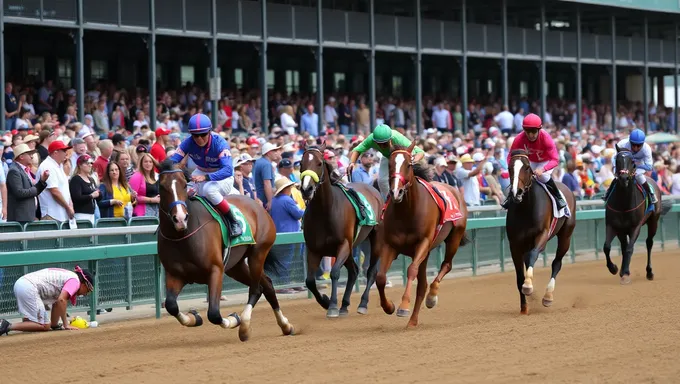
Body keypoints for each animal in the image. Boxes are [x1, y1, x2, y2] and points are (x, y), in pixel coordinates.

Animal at [157, 160, 294, 342]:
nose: (180, 218)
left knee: (257, 288)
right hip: (236, 266)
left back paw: (245, 326)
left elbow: (214, 314)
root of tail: (258, 205)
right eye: (161, 186)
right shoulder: (175, 274)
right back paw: (285, 325)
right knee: (267, 285)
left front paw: (234, 319)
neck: (184, 235)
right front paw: (194, 317)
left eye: (184, 184)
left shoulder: (216, 270)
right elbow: (171, 305)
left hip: (258, 253)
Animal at [300, 144, 386, 318]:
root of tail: (372, 188)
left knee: (370, 271)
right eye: (300, 163)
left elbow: (334, 273)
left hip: (375, 240)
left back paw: (362, 304)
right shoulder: (314, 249)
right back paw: (345, 305)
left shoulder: (343, 245)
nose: (306, 189)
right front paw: (326, 302)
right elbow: (310, 281)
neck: (325, 211)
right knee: (354, 271)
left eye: (319, 163)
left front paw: (333, 305)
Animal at [372, 141, 468, 328]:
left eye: (409, 165)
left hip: (454, 237)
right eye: (390, 165)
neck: (408, 212)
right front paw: (389, 306)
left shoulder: (423, 243)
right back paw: (413, 321)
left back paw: (432, 297)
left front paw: (403, 306)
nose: (396, 192)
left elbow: (411, 270)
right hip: (427, 252)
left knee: (446, 265)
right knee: (422, 285)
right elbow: (380, 277)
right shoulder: (390, 245)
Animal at [508, 148, 576, 314]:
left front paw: (528, 286)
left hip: (566, 236)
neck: (526, 208)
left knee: (557, 263)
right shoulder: (514, 244)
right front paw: (524, 307)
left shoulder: (542, 235)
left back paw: (548, 296)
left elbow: (533, 255)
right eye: (509, 168)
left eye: (527, 167)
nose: (516, 192)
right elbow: (520, 276)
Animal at [604, 147, 672, 284]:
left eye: (632, 161)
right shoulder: (613, 225)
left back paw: (649, 272)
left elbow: (630, 248)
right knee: (624, 246)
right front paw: (614, 268)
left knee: (649, 243)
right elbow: (607, 247)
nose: (624, 178)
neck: (623, 203)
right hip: (622, 230)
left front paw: (625, 273)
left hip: (653, 221)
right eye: (617, 160)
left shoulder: (635, 226)